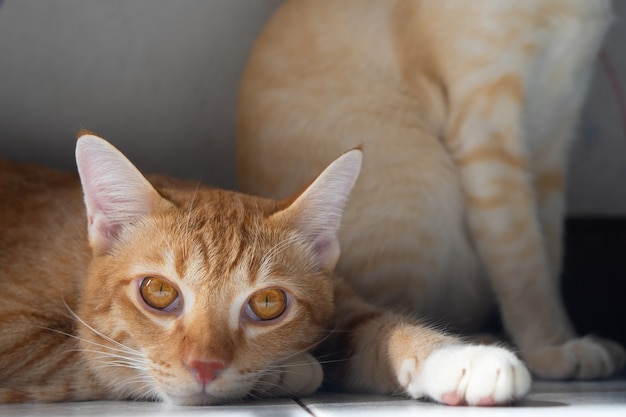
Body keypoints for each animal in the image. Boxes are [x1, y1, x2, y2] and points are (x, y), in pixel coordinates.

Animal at [0, 134, 528, 406]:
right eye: (158, 292)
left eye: (268, 303)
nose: (205, 367)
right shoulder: (19, 338)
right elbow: (100, 363)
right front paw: (292, 370)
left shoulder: (345, 310)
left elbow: (387, 329)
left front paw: (464, 358)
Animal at [235, 0, 624, 378]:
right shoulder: (488, 125)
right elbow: (525, 266)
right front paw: (550, 348)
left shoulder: (555, 127)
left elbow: (548, 260)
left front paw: (563, 338)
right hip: (425, 189)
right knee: (370, 340)